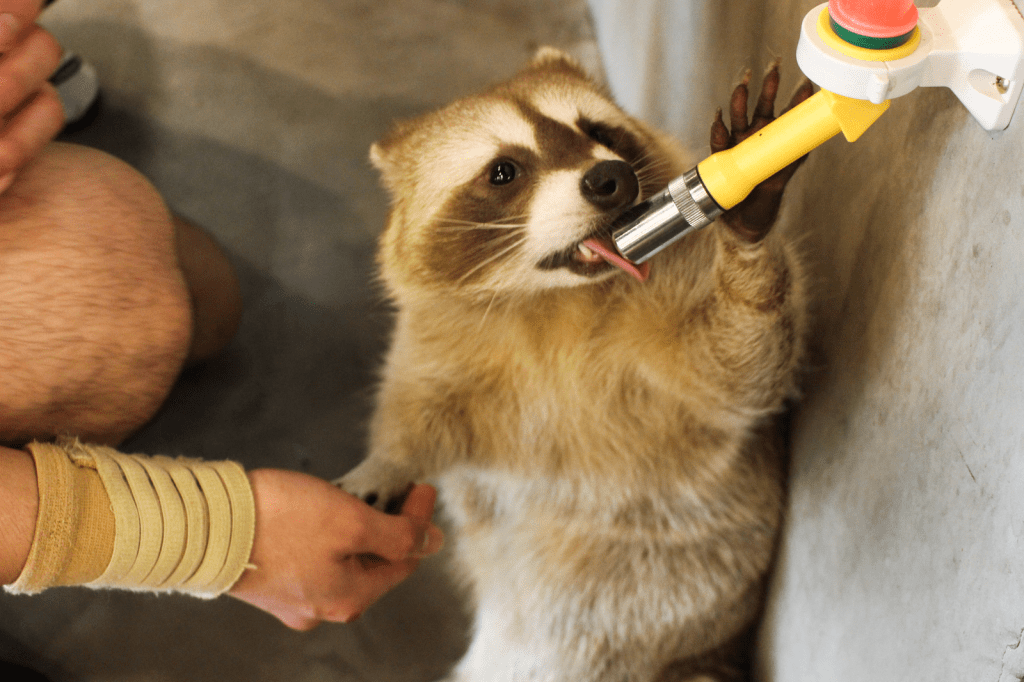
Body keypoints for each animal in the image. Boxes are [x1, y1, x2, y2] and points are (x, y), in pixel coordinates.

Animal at [338, 48, 811, 682]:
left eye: (599, 132)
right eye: (504, 171)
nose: (612, 178)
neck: (552, 301)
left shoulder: (675, 314)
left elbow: (736, 372)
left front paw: (747, 217)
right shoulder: (436, 341)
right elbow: (419, 408)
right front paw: (386, 461)